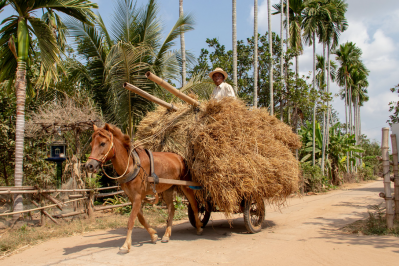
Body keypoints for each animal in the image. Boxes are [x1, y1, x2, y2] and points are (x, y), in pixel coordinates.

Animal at [84, 123, 203, 252]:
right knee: (172, 209)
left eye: (102, 143)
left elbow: (131, 220)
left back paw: (199, 227)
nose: (89, 166)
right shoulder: (133, 197)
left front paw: (125, 245)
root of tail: (180, 157)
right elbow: (140, 218)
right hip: (167, 189)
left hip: (187, 186)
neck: (131, 165)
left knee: (194, 205)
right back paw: (166, 235)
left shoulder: (137, 196)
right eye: (91, 144)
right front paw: (153, 235)